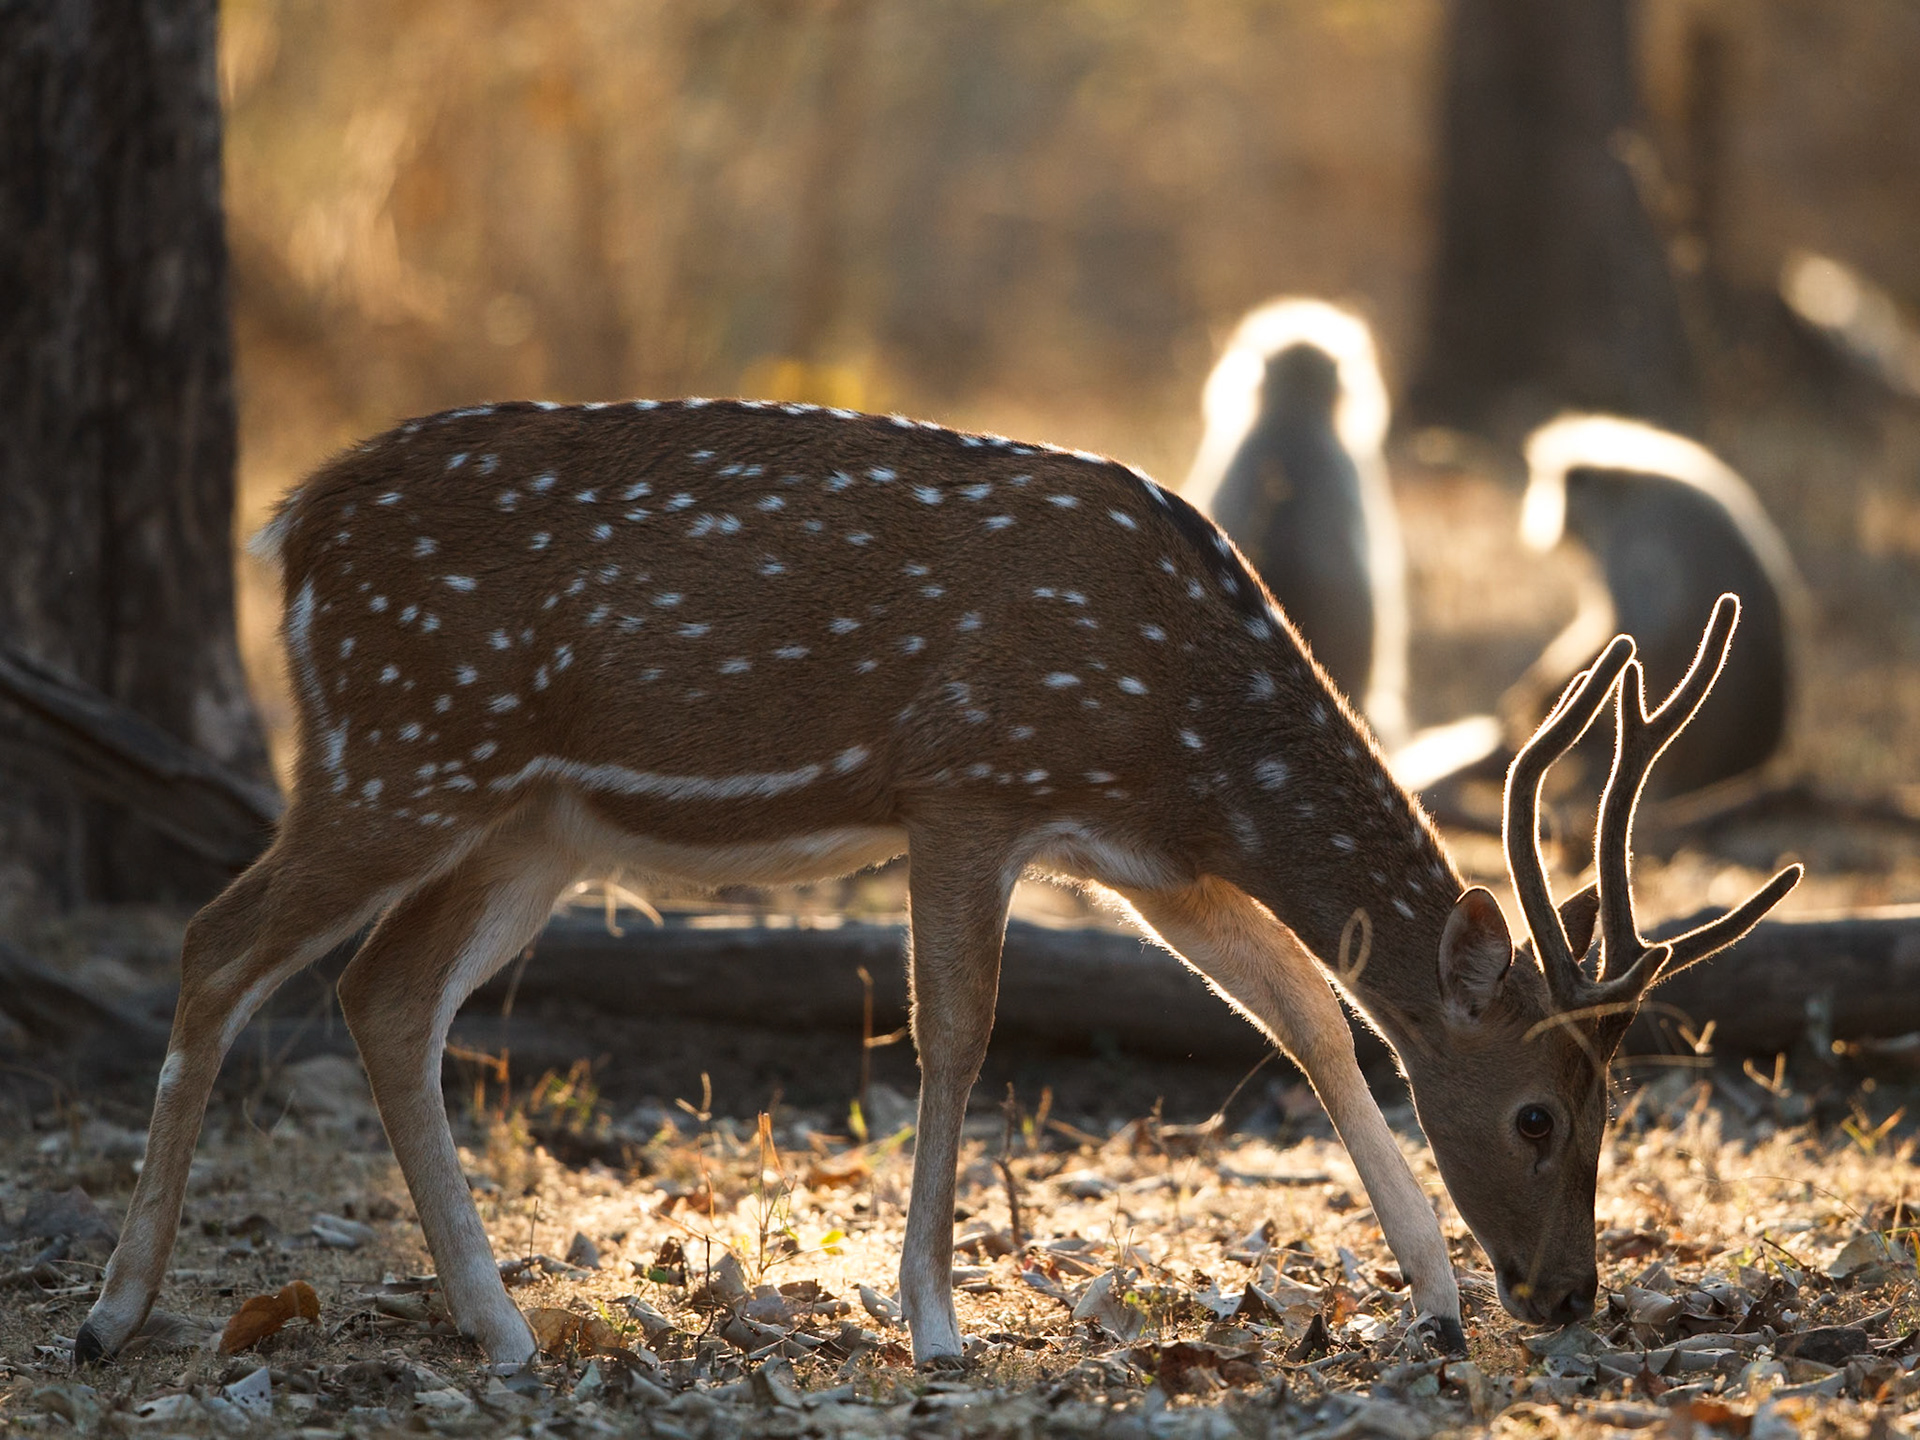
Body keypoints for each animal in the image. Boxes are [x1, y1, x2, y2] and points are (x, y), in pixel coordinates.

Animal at [73, 397, 1798, 1369]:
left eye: (1616, 1104)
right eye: (1541, 1114)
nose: (1568, 1297)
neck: (1186, 717)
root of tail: (288, 533)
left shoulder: (1146, 848)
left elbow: (1309, 1013)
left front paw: (1431, 1304)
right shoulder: (974, 785)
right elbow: (957, 1032)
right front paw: (939, 1328)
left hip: (528, 818)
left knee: (387, 993)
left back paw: (500, 1335)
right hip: (403, 749)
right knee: (219, 943)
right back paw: (114, 1313)